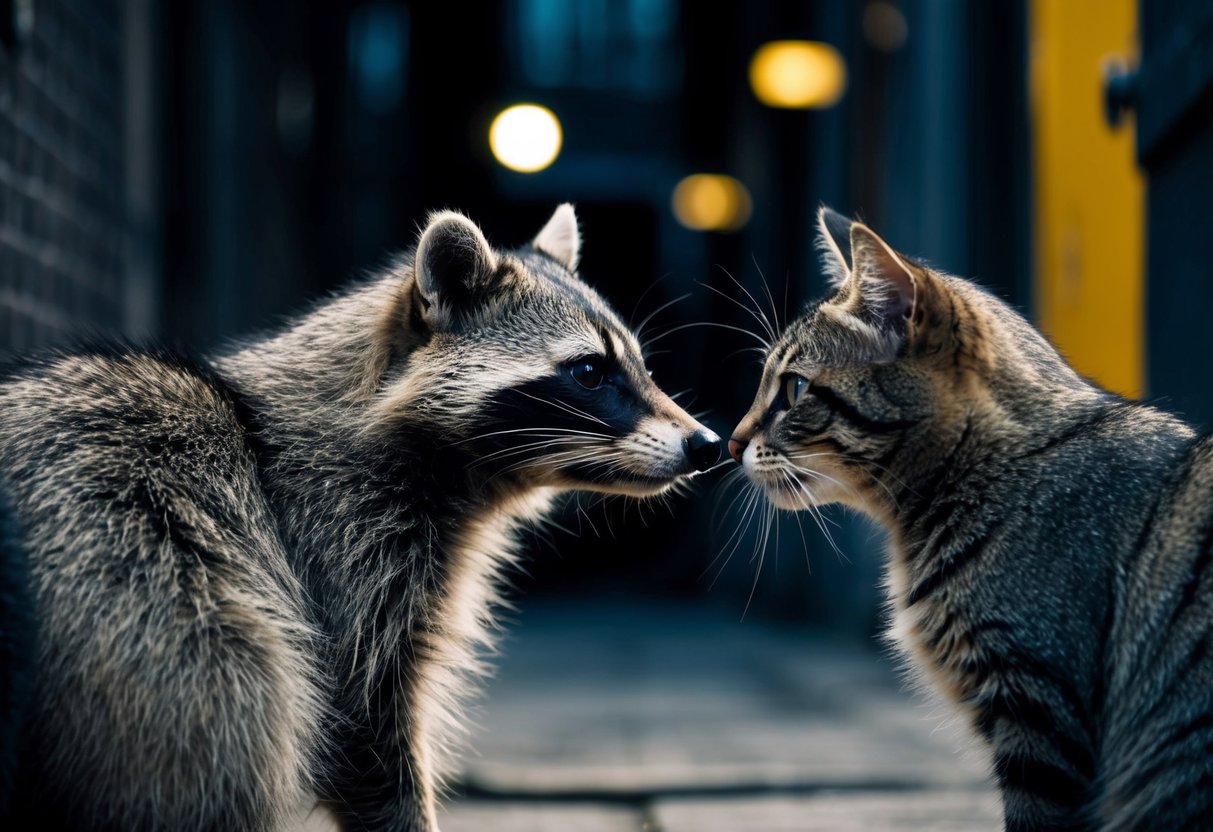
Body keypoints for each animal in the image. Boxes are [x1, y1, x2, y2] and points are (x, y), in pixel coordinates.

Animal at [0, 205, 721, 831]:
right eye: (589, 371)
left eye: (640, 367)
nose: (707, 445)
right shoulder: (337, 542)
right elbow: (361, 724)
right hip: (144, 576)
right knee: (240, 702)